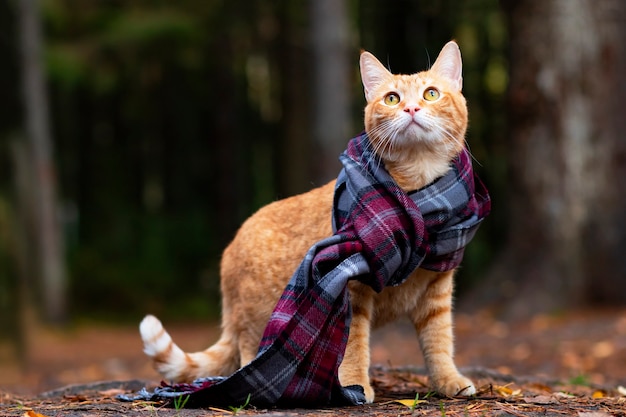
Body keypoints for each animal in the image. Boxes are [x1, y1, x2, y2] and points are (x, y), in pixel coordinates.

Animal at [140, 42, 472, 404]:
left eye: (431, 94)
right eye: (392, 98)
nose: (411, 108)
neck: (418, 198)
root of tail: (229, 251)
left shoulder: (437, 290)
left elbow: (439, 343)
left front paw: (448, 380)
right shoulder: (350, 289)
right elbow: (354, 345)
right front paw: (355, 385)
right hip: (255, 319)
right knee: (248, 357)